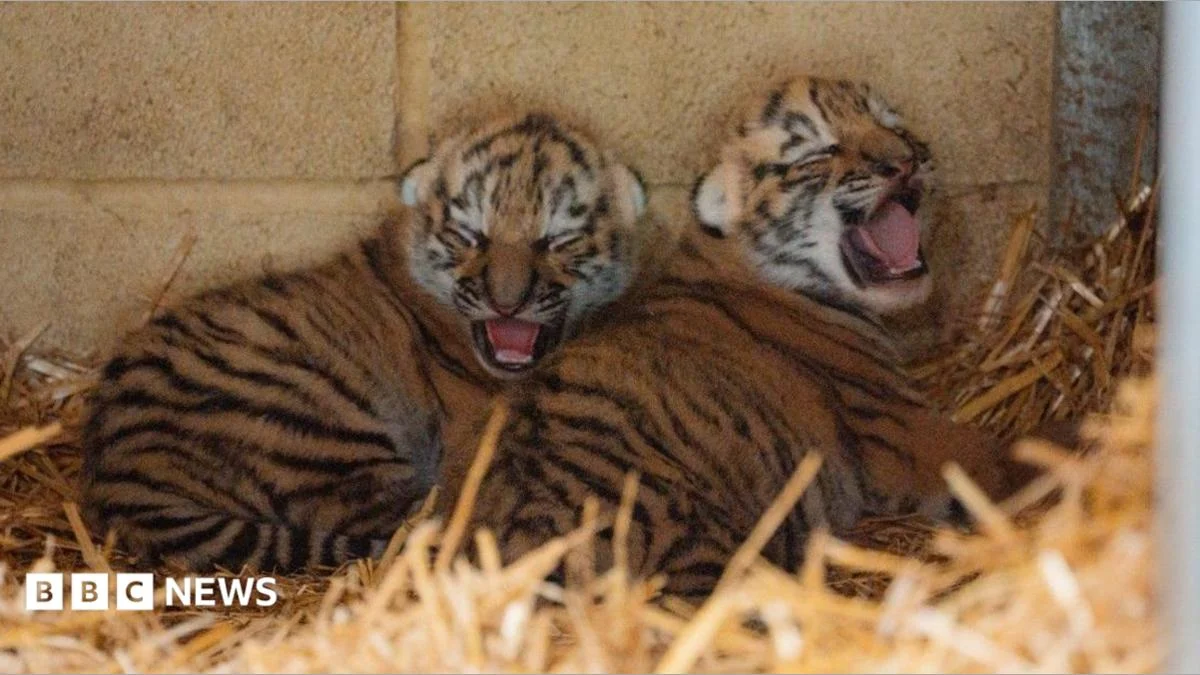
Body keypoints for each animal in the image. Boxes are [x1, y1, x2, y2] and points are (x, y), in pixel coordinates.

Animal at [80, 112, 653, 573]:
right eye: (470, 236)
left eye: (558, 240)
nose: (506, 303)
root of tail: (115, 470)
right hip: (317, 424)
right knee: (417, 518)